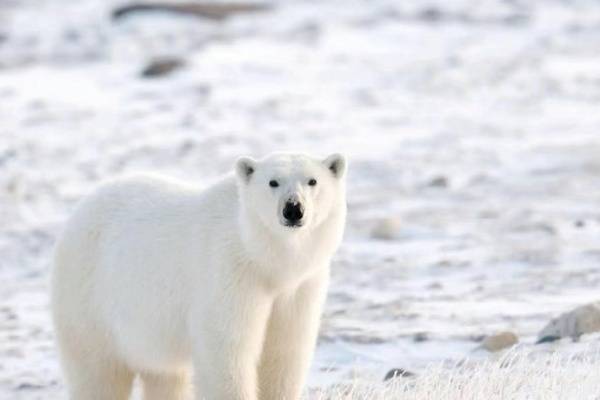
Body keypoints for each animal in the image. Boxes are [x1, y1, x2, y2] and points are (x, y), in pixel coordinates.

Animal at [50, 152, 346, 398]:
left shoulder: (299, 287)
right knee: (98, 373)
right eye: (273, 182)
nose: (293, 208)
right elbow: (227, 349)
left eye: (312, 181)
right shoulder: (229, 273)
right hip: (90, 300)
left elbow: (284, 352)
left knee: (165, 376)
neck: (264, 259)